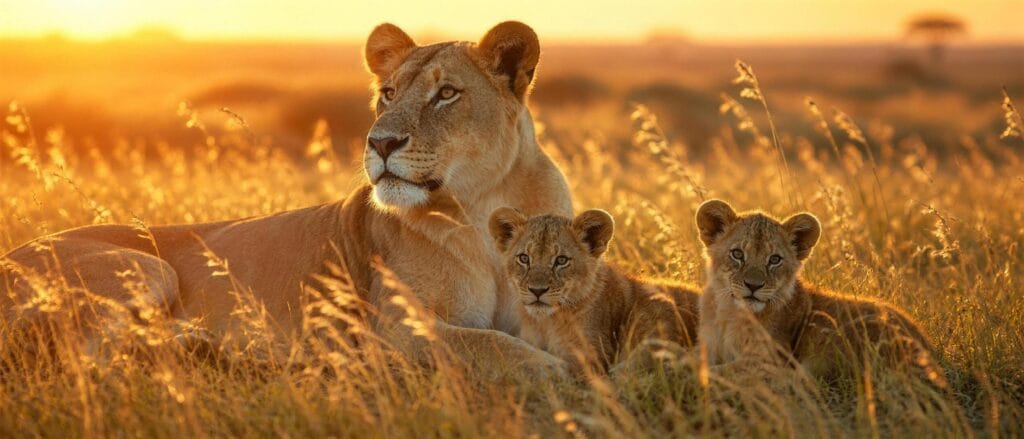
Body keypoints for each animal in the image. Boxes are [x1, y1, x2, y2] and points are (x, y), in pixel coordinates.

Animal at [0, 22, 573, 377]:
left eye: (447, 93)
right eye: (388, 93)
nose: (380, 142)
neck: (482, 207)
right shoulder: (395, 329)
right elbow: (489, 344)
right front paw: (554, 371)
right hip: (146, 268)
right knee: (79, 359)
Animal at [695, 199, 937, 381]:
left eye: (774, 260)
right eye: (737, 254)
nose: (753, 286)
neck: (730, 313)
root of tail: (927, 351)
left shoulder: (770, 356)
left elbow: (724, 369)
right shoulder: (709, 346)